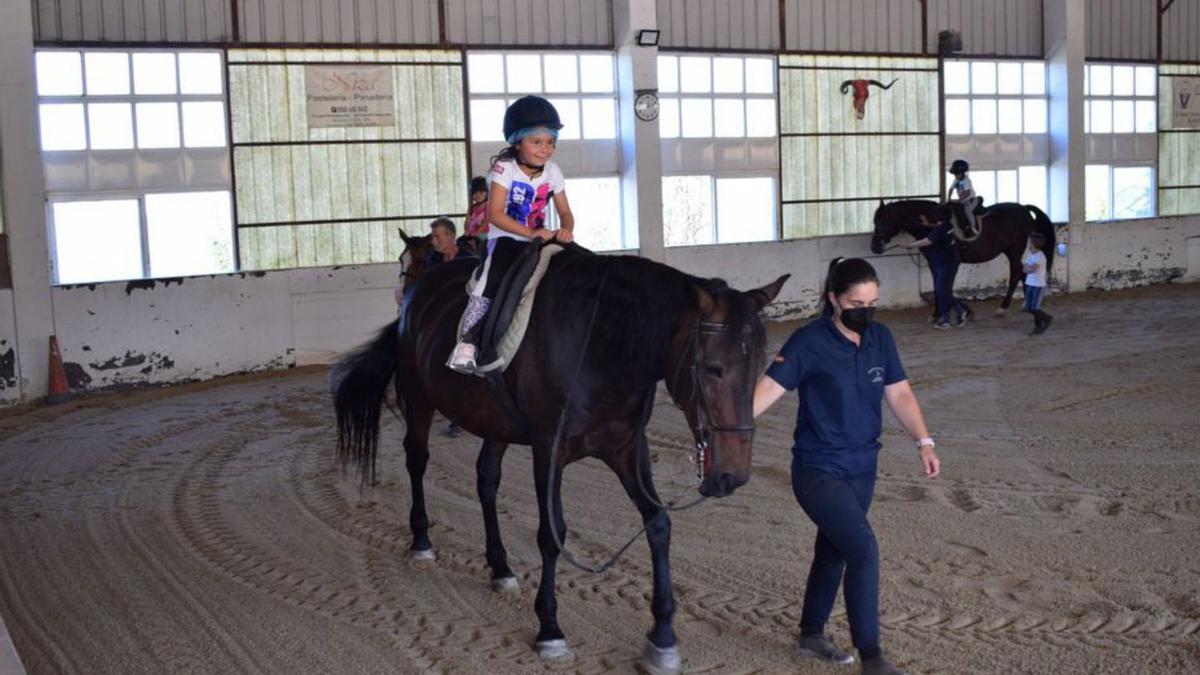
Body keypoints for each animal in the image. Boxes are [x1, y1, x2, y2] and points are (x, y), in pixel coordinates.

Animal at [333, 242, 792, 672]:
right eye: (713, 368)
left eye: (760, 367)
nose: (732, 475)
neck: (603, 348)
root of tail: (416, 293)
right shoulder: (547, 452)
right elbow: (551, 535)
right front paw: (550, 629)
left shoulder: (628, 448)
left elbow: (658, 522)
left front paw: (662, 637)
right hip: (418, 398)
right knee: (417, 460)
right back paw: (422, 542)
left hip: (495, 422)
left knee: (486, 480)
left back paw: (500, 567)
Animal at [868, 199, 1056, 314]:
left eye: (883, 221)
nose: (874, 246)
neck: (932, 225)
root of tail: (1023, 208)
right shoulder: (935, 263)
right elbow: (938, 285)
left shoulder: (949, 262)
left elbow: (944, 286)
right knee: (1023, 273)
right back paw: (1026, 305)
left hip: (1015, 250)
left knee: (1016, 273)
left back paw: (1003, 308)